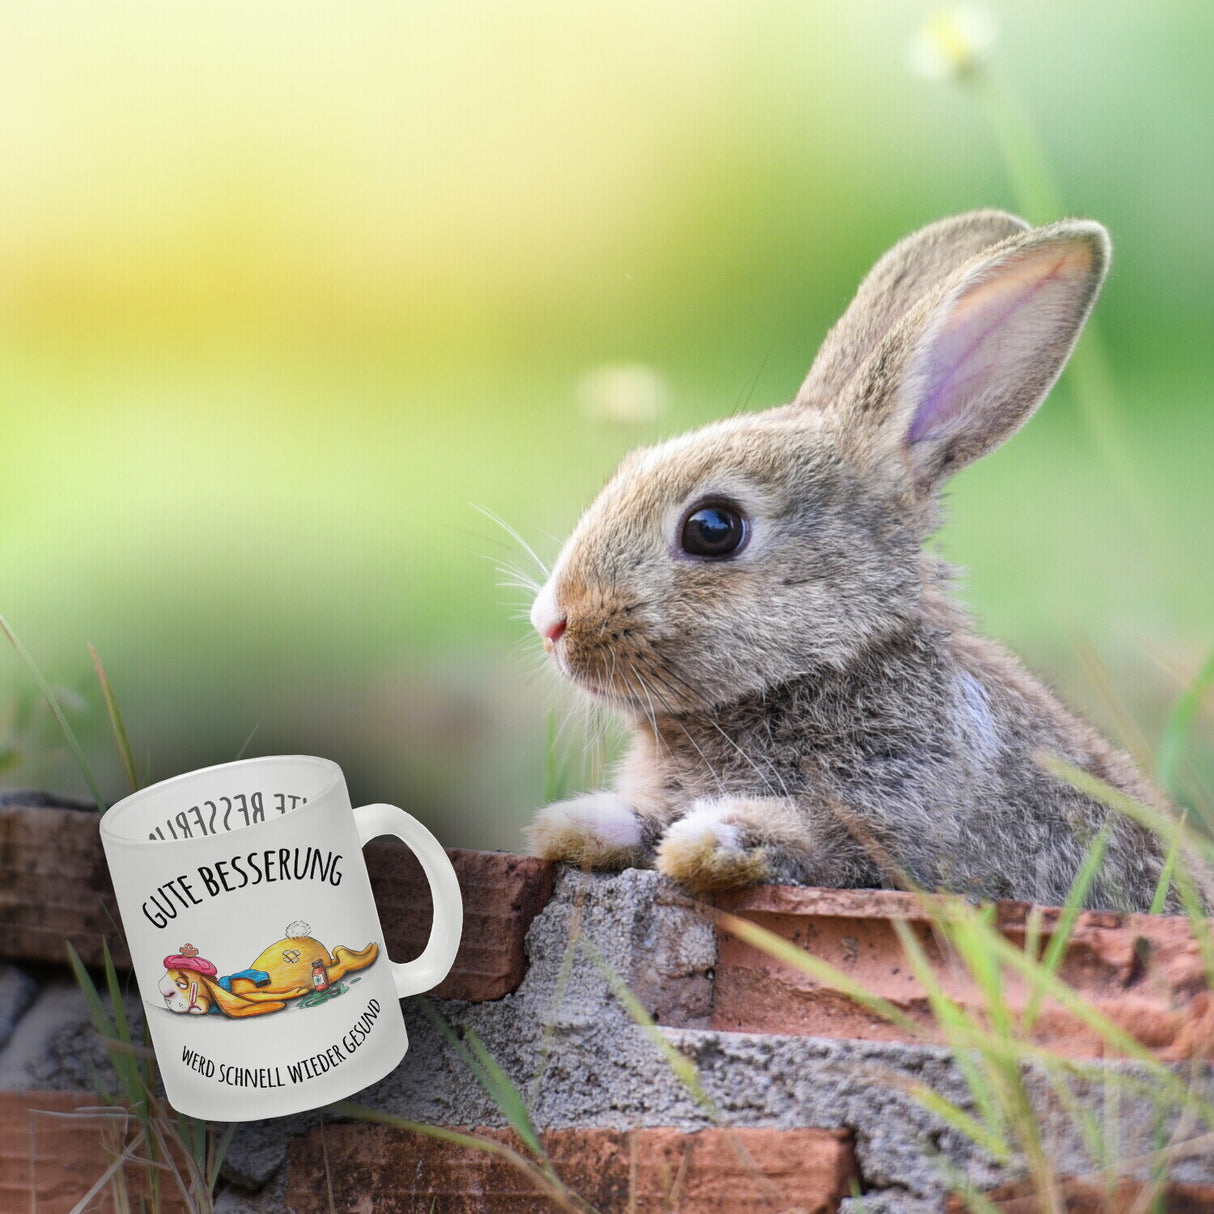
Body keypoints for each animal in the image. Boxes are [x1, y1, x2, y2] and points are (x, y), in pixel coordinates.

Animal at [524, 210, 1179, 912]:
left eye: (713, 528)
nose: (552, 622)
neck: (829, 663)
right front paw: (575, 824)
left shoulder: (898, 824)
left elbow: (815, 840)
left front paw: (711, 840)